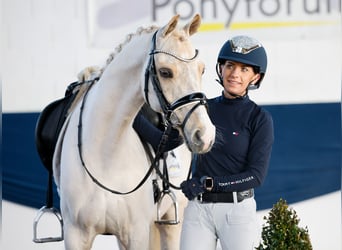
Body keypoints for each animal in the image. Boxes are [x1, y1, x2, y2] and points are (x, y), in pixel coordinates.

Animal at [52, 14, 215, 250]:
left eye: (202, 69)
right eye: (165, 72)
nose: (205, 134)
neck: (105, 156)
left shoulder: (135, 234)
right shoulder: (75, 235)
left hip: (171, 221)